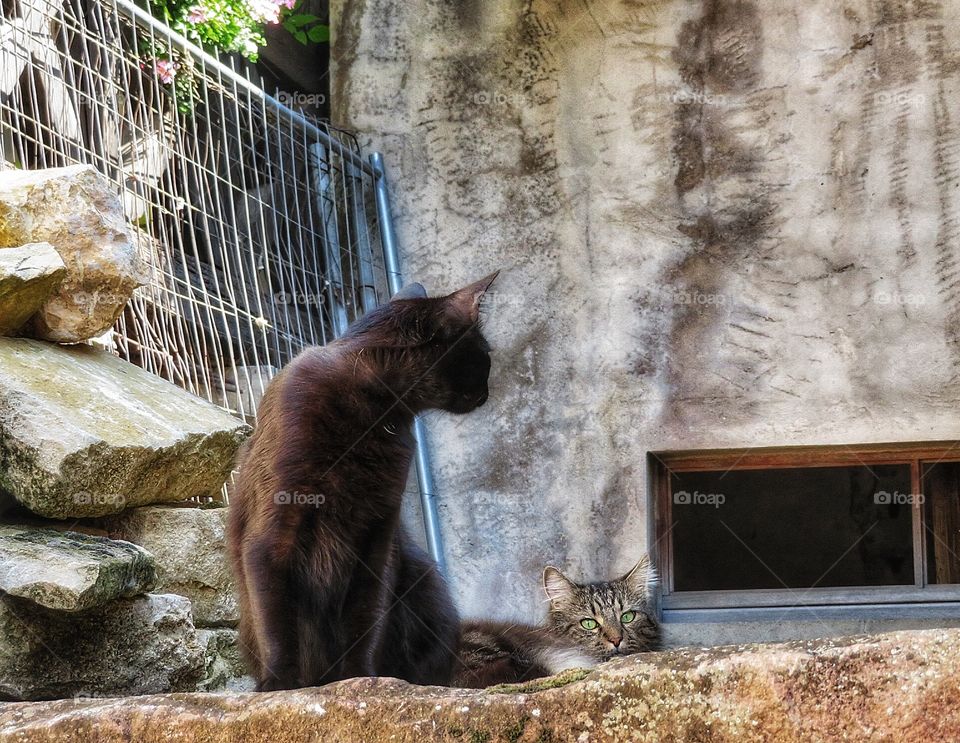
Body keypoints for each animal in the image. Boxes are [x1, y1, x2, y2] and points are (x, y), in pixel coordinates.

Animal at [229, 274, 498, 692]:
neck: (373, 411)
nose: (488, 393)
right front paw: (280, 685)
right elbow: (277, 624)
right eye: (484, 354)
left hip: (426, 586)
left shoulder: (378, 537)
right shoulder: (272, 532)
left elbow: (366, 618)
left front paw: (361, 677)